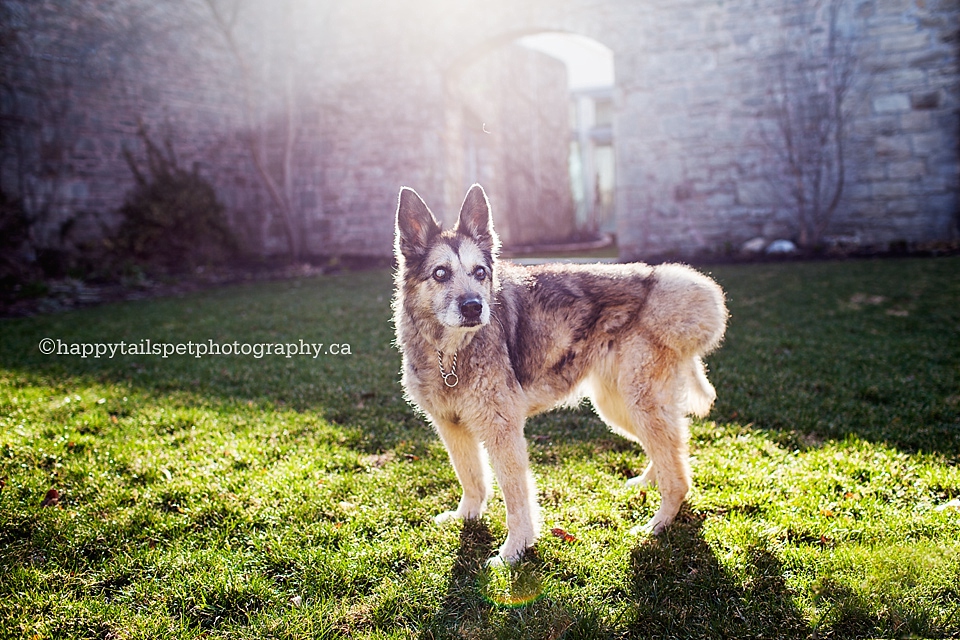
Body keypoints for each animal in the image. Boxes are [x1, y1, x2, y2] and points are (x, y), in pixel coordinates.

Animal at [390, 182, 728, 564]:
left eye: (480, 273)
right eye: (440, 273)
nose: (475, 307)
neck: (450, 353)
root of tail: (665, 281)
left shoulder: (502, 431)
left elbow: (516, 497)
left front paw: (514, 551)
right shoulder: (452, 427)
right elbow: (471, 478)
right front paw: (467, 516)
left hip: (640, 403)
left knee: (679, 475)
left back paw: (656, 526)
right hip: (620, 406)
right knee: (673, 448)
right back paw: (647, 483)